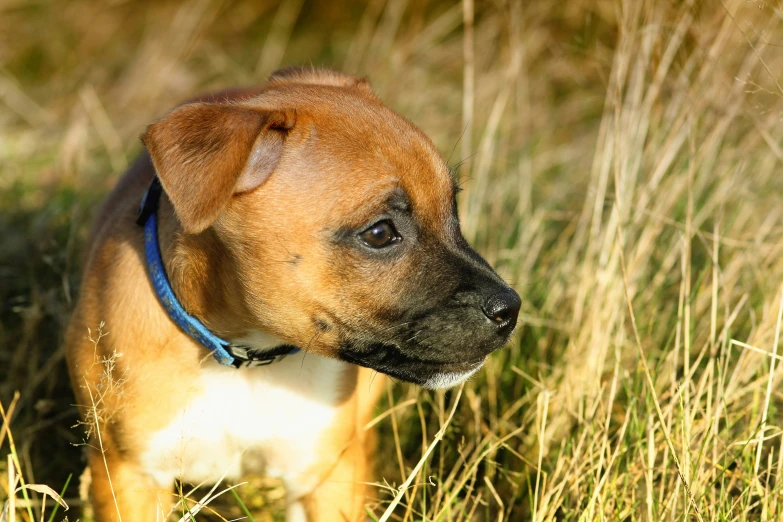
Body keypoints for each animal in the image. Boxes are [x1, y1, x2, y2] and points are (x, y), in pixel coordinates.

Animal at [66, 67, 520, 516]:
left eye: (453, 211)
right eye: (379, 233)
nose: (510, 309)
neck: (245, 358)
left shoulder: (324, 477)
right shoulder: (130, 477)